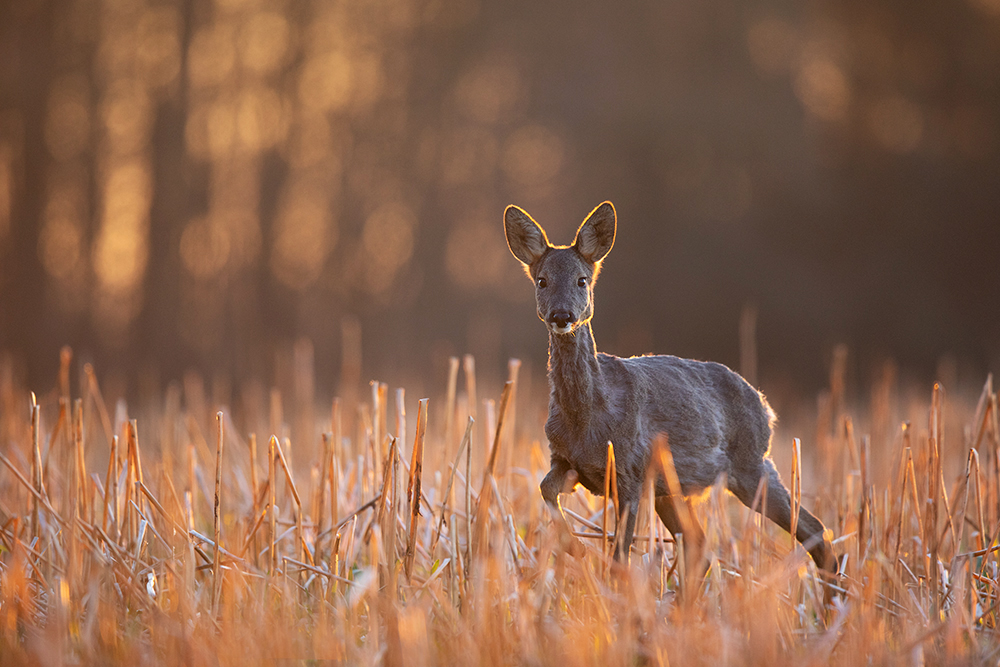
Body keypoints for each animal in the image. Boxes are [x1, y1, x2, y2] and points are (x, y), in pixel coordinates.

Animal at [504, 201, 840, 576]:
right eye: (541, 280)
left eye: (582, 280)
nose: (562, 316)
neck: (586, 417)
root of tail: (765, 405)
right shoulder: (565, 459)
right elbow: (544, 488)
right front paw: (572, 548)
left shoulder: (629, 471)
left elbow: (620, 557)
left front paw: (587, 560)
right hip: (672, 488)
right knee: (701, 546)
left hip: (751, 464)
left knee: (814, 529)